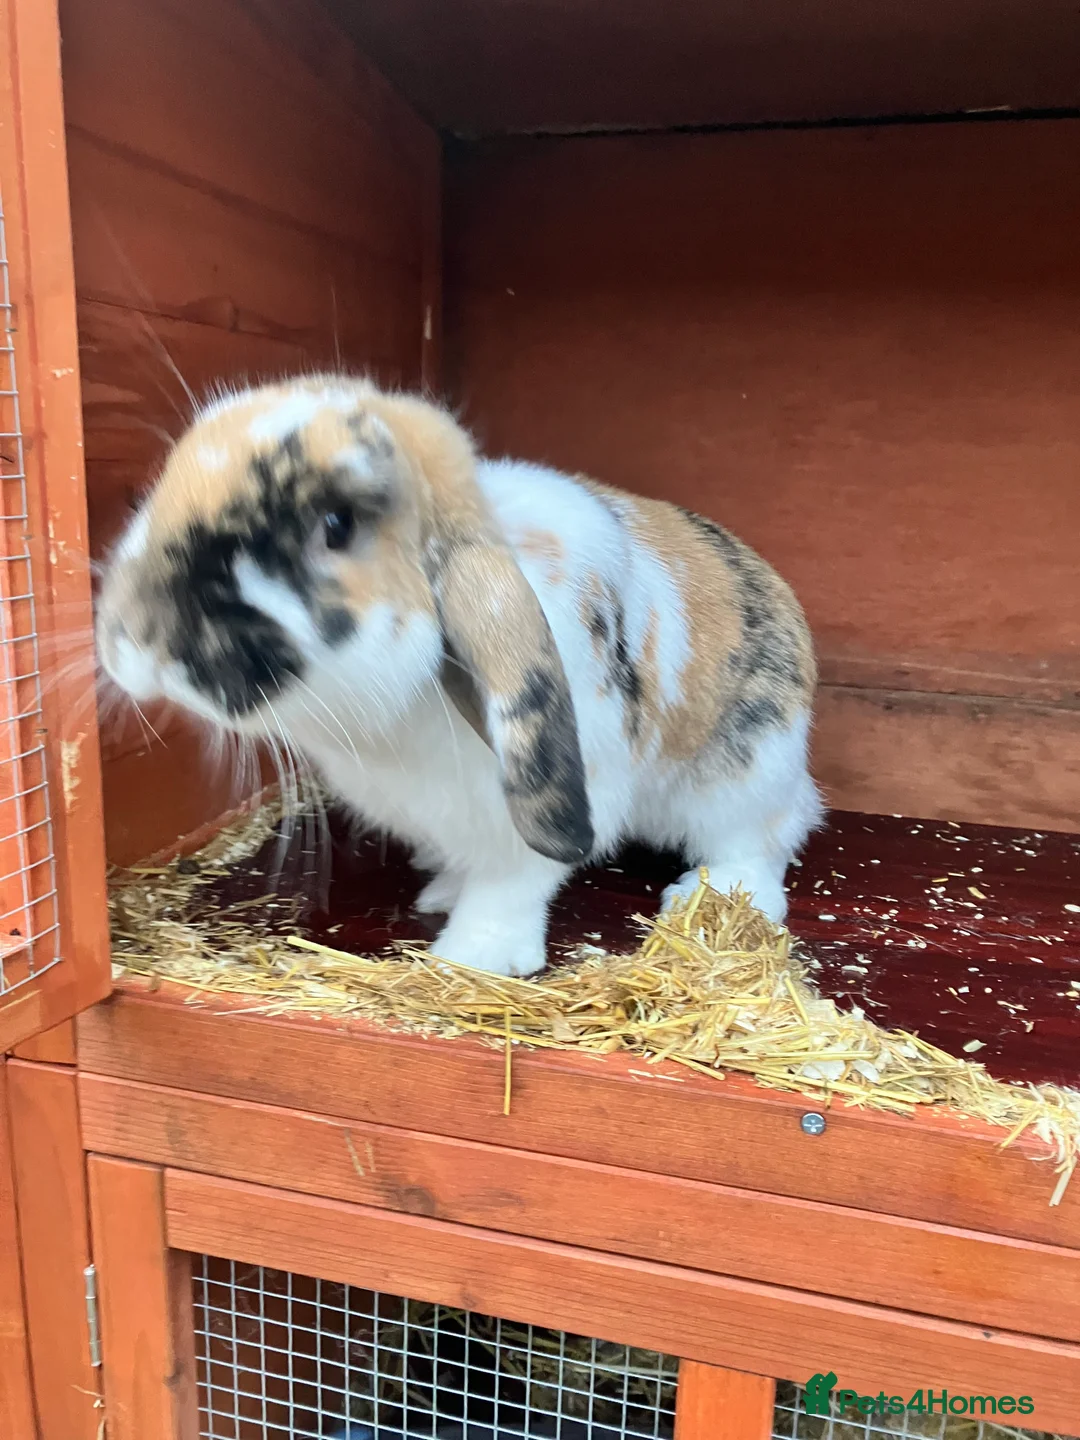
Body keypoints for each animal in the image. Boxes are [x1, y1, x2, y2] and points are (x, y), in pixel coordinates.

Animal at [95, 375, 822, 978]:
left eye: (336, 524)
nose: (137, 639)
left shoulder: (534, 822)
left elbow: (510, 886)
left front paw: (473, 957)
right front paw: (441, 892)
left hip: (744, 776)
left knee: (762, 840)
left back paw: (714, 894)